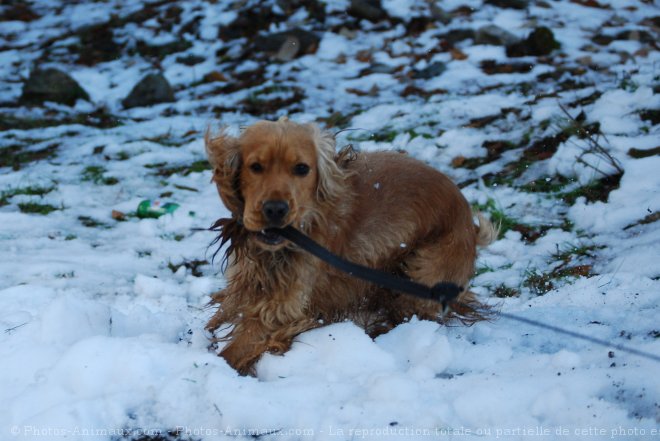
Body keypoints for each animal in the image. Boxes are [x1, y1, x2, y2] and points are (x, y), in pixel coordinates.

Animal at [205, 117, 496, 374]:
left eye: (302, 168)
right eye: (255, 166)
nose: (275, 209)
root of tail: (470, 223)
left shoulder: (284, 311)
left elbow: (234, 351)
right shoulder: (244, 284)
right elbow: (221, 315)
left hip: (423, 274)